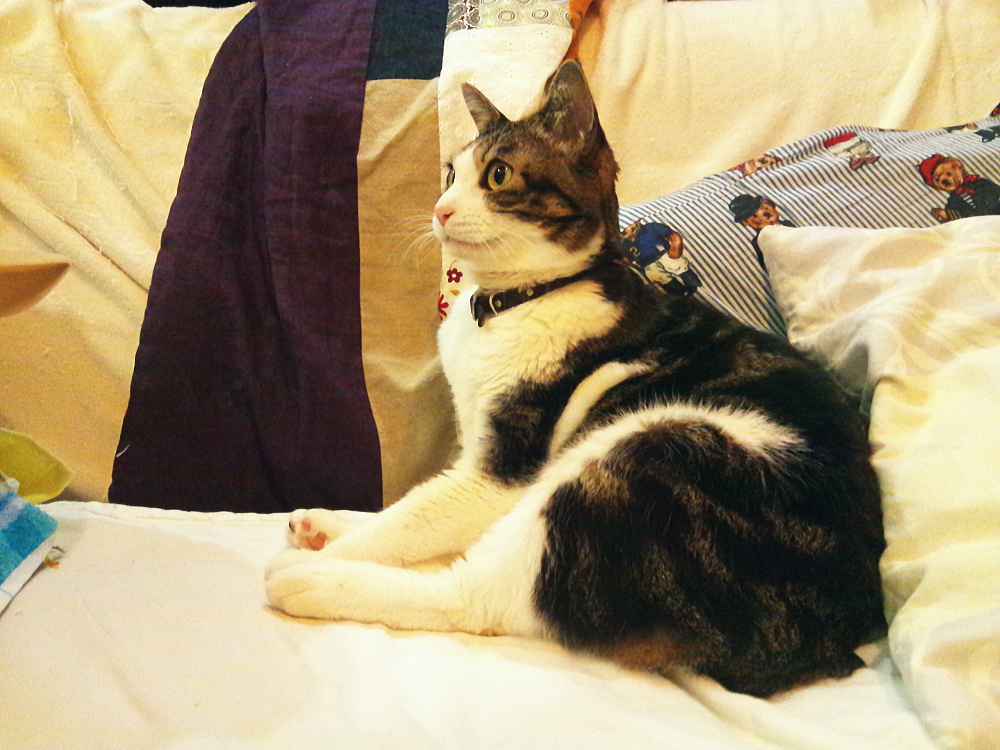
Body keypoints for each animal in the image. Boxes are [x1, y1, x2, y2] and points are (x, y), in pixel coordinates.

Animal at [265, 60, 887, 698]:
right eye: (450, 174)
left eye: (498, 174)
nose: (439, 209)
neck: (514, 301)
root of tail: (835, 640)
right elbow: (411, 505)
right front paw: (337, 525)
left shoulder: (501, 470)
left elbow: (415, 515)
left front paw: (337, 551)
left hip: (653, 452)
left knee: (476, 594)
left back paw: (309, 575)